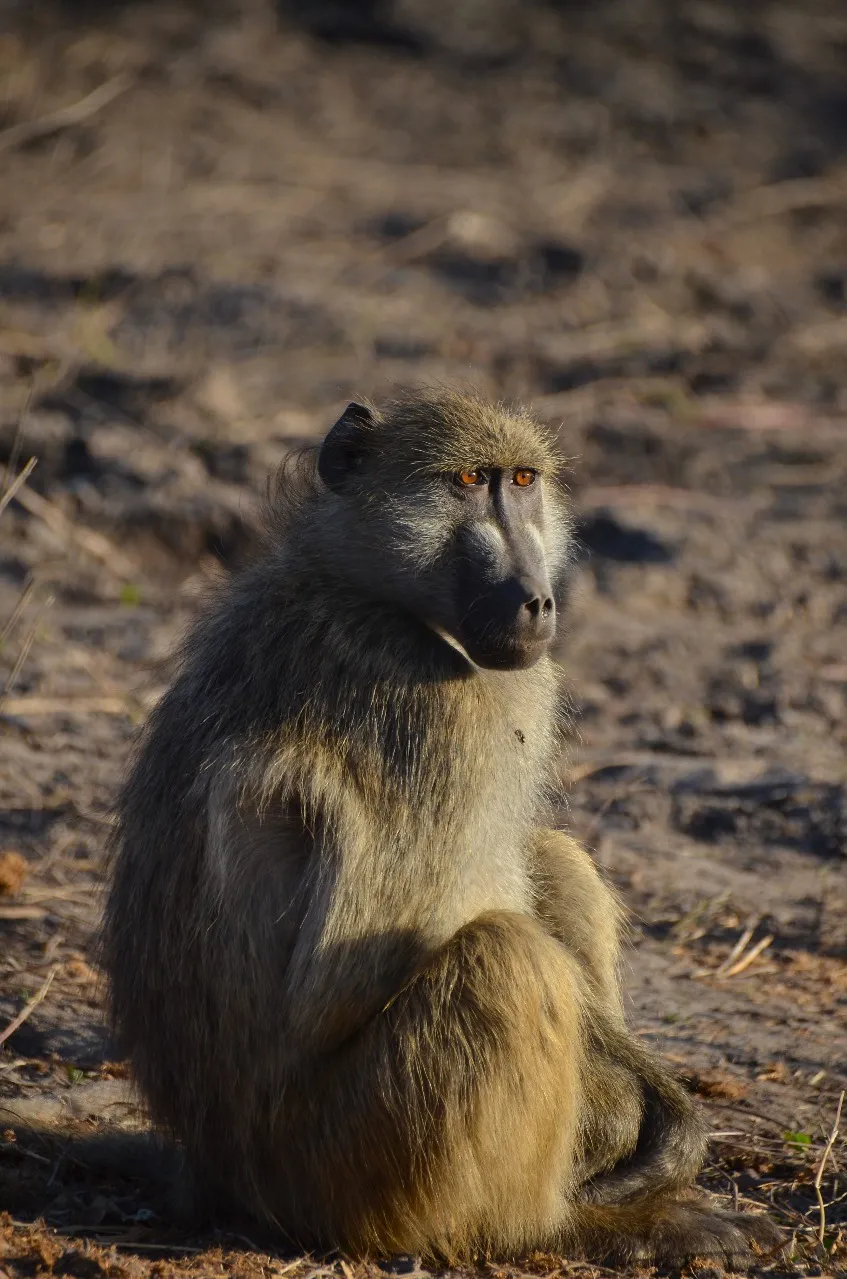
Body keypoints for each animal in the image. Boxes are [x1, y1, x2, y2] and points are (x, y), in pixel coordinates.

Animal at [101, 390, 782, 1267]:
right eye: (466, 482)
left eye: (521, 481)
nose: (537, 600)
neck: (357, 582)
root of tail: (217, 1177)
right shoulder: (436, 711)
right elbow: (369, 963)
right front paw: (628, 1129)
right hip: (343, 1159)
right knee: (503, 957)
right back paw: (570, 1226)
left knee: (550, 858)